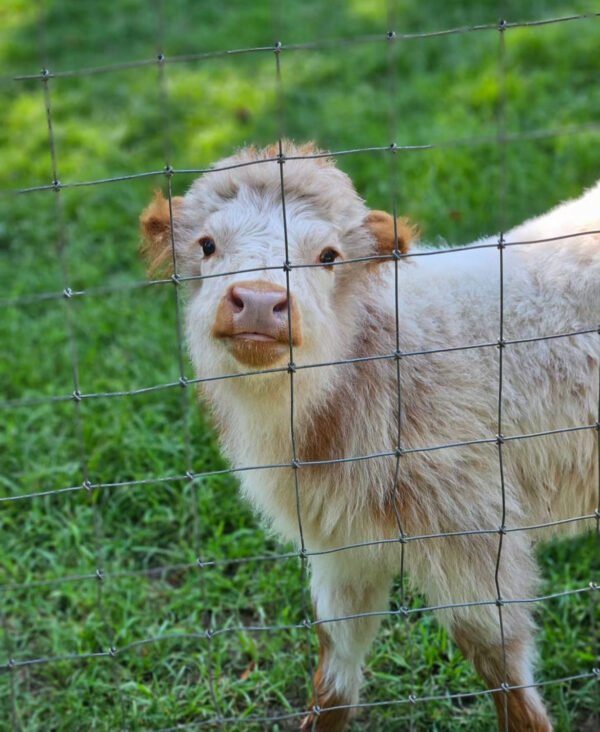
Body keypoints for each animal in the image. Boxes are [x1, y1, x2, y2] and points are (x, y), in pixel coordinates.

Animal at [142, 144, 600, 732]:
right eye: (207, 245)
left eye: (329, 256)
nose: (261, 302)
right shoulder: (341, 544)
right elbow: (335, 661)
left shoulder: (472, 528)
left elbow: (500, 669)